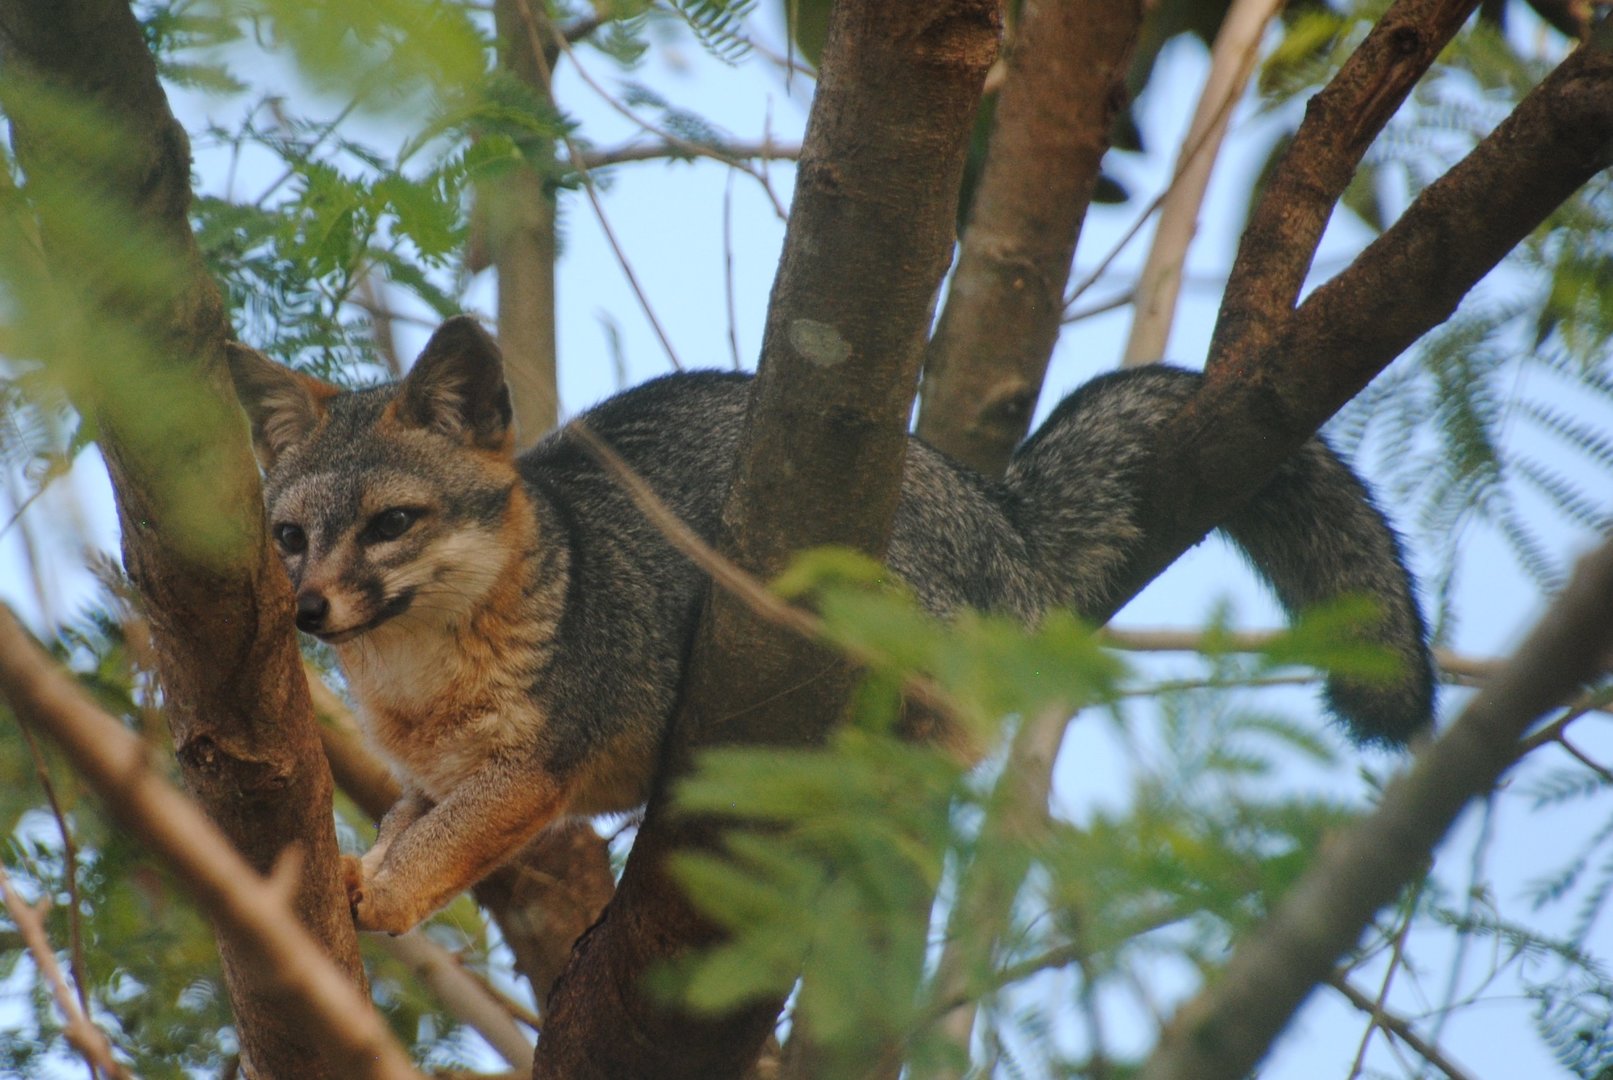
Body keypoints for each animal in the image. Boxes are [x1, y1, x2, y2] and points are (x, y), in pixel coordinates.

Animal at [226, 314, 1434, 935]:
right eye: (290, 537)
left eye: (390, 525)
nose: (310, 609)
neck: (421, 686)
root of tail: (996, 514)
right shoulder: (432, 777)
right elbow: (407, 825)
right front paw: (358, 874)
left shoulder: (537, 765)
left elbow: (448, 841)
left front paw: (387, 895)